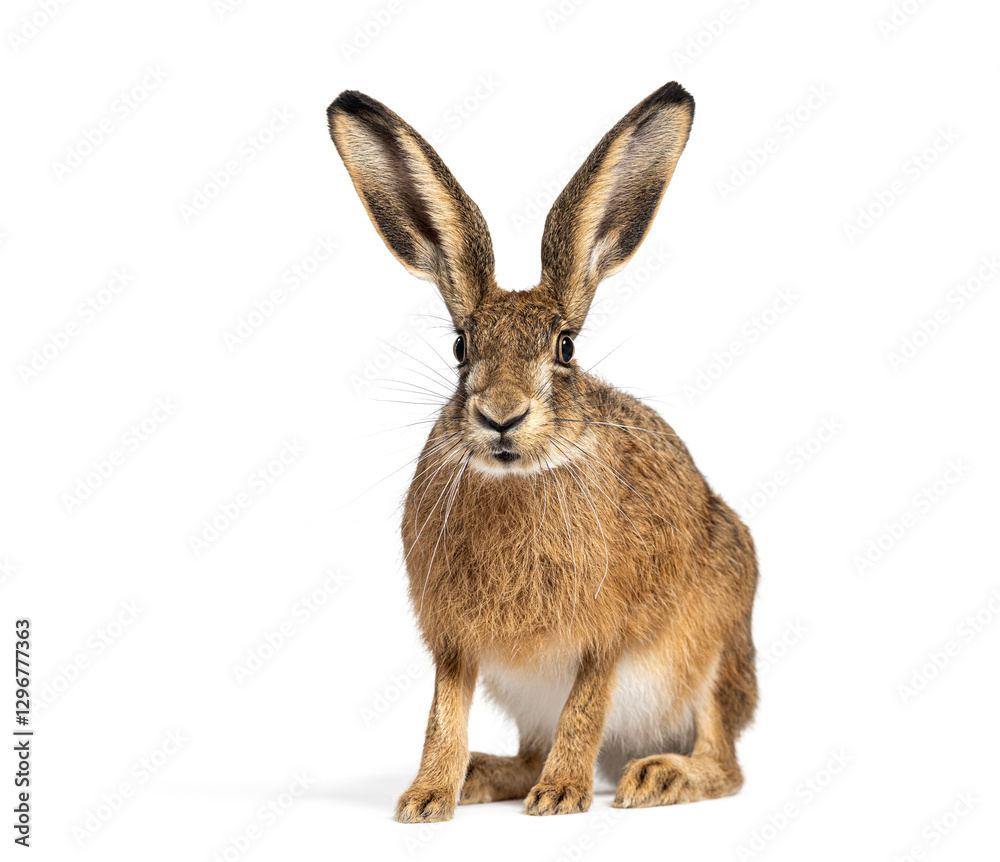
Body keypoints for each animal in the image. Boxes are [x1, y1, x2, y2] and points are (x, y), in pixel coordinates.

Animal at [326, 81, 758, 822]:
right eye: (460, 346)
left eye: (566, 347)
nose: (502, 416)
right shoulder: (455, 644)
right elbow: (443, 714)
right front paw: (426, 797)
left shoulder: (605, 637)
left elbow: (584, 708)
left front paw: (562, 796)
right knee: (526, 752)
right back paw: (482, 775)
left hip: (713, 651)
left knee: (724, 762)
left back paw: (657, 777)